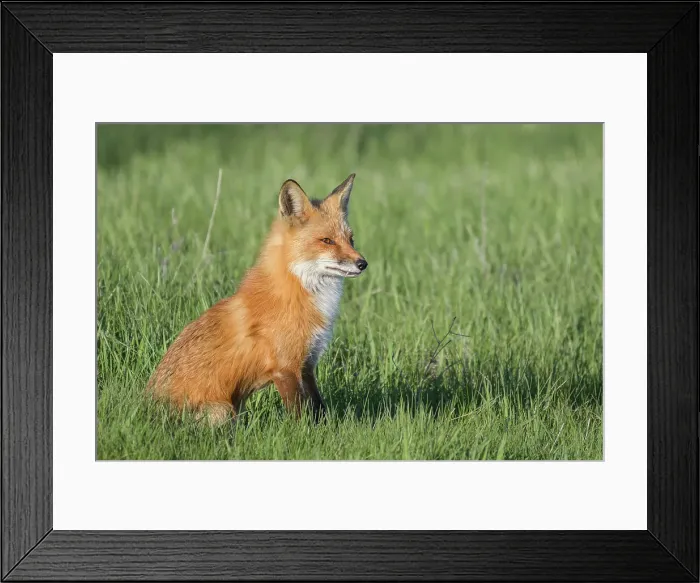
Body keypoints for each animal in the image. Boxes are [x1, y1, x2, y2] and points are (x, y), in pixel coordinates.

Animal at [146, 173, 368, 426]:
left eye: (351, 239)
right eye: (327, 241)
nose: (362, 263)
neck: (299, 294)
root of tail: (143, 408)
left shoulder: (307, 364)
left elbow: (319, 408)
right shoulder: (286, 368)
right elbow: (299, 416)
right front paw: (304, 433)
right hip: (223, 411)